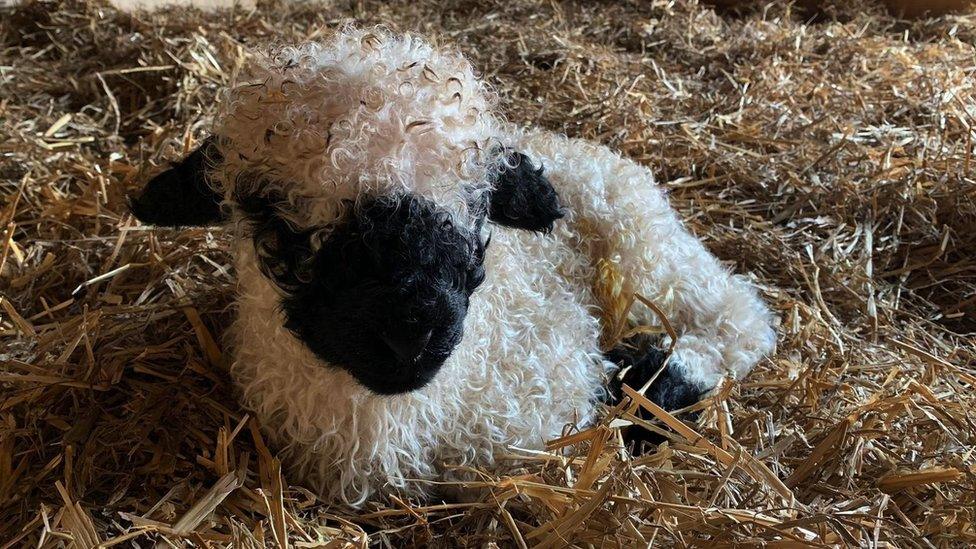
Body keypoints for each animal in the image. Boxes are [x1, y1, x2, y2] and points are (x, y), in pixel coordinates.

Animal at [130, 27, 772, 504]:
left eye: (479, 203)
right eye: (269, 211)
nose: (411, 330)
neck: (399, 427)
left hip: (643, 242)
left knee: (739, 317)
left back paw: (660, 377)